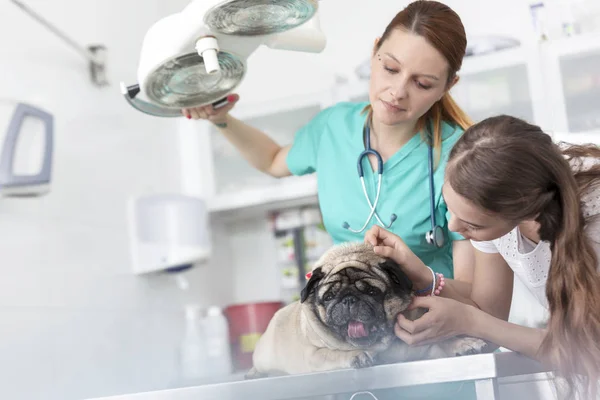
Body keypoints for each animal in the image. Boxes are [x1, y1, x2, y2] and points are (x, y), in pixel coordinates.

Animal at [247, 241, 488, 378]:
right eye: (329, 296)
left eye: (372, 292)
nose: (348, 300)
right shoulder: (313, 355)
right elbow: (332, 353)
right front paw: (357, 355)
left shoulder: (422, 347)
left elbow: (441, 342)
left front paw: (463, 342)